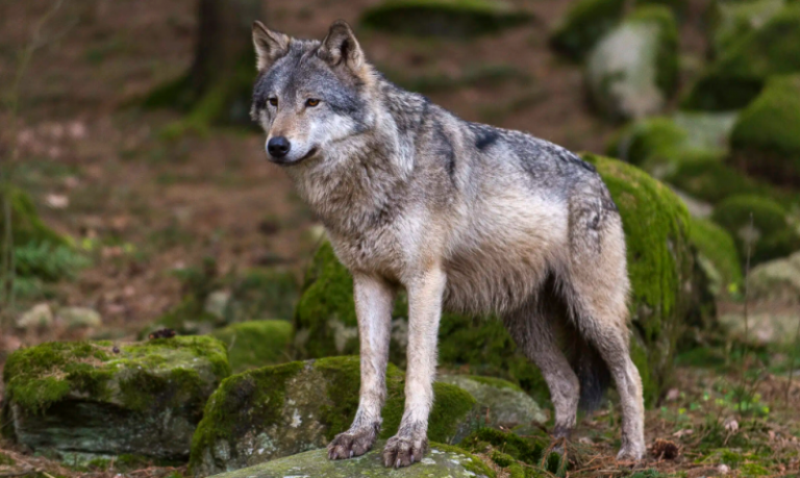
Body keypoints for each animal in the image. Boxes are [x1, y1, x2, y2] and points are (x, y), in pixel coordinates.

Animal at [253, 19, 648, 466]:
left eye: (313, 102)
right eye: (273, 102)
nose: (276, 145)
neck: (375, 175)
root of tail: (597, 178)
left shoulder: (425, 282)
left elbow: (417, 370)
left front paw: (409, 441)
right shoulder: (368, 282)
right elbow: (370, 371)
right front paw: (359, 436)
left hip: (592, 313)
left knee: (631, 376)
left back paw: (632, 452)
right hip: (526, 327)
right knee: (568, 383)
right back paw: (553, 451)